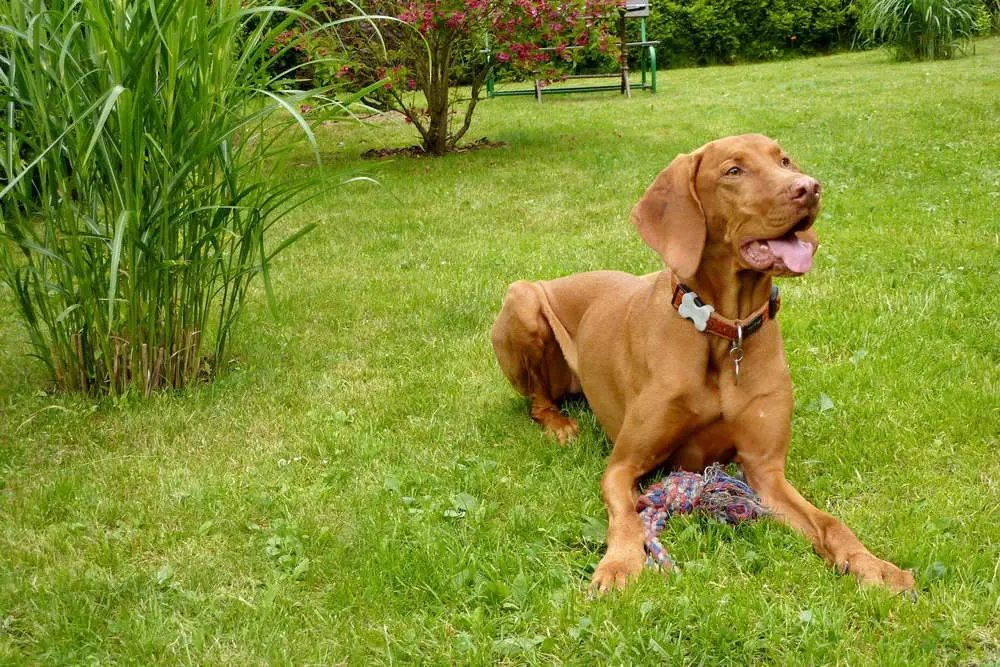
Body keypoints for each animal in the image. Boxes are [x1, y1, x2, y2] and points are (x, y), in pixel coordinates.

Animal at [490, 133, 916, 592]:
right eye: (734, 171)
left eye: (783, 160)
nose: (810, 188)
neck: (724, 332)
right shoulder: (622, 465)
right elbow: (627, 517)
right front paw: (618, 565)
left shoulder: (765, 471)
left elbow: (829, 522)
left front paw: (873, 565)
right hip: (523, 298)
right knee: (538, 401)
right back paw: (560, 426)